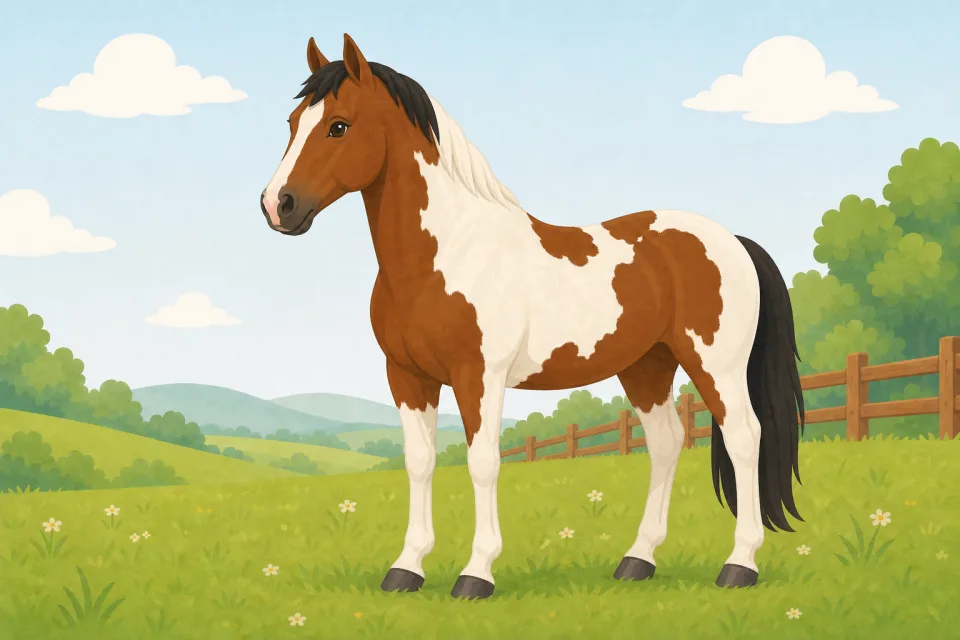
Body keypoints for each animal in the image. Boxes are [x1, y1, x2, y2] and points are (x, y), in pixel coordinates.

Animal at [259, 33, 806, 600]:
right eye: (293, 122)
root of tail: (732, 240)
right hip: (647, 366)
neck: (446, 254)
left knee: (744, 436)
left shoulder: (479, 376)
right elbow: (420, 462)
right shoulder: (407, 377)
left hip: (716, 364)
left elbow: (482, 463)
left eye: (338, 125)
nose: (278, 205)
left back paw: (740, 565)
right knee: (666, 443)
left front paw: (476, 573)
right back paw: (638, 560)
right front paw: (406, 568)